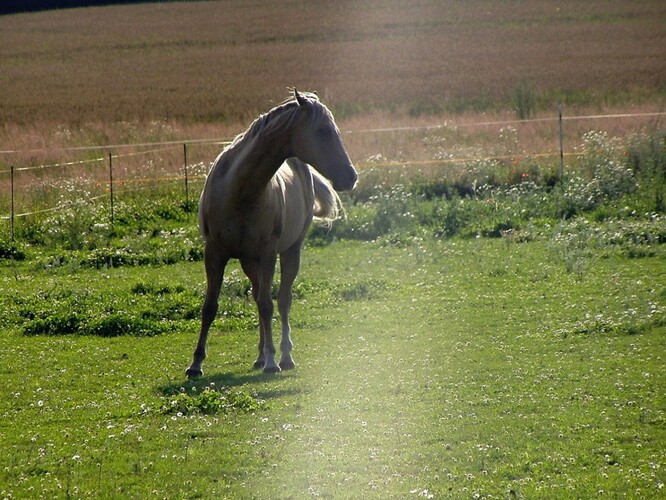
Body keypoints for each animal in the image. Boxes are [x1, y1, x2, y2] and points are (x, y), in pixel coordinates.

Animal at [184, 90, 356, 376]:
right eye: (323, 131)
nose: (351, 176)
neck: (240, 191)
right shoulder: (214, 252)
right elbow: (210, 306)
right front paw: (196, 363)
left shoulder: (268, 253)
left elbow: (268, 305)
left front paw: (273, 360)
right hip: (248, 261)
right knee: (257, 296)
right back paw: (260, 356)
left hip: (290, 252)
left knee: (282, 299)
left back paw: (283, 356)